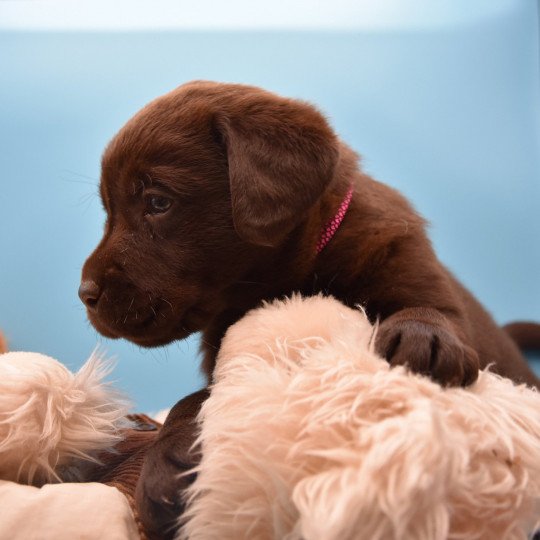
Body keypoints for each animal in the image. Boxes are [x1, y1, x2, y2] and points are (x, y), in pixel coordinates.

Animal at [78, 80, 536, 536]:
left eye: (157, 202)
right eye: (108, 210)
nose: (85, 293)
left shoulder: (408, 263)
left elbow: (432, 310)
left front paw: (422, 337)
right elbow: (191, 401)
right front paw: (165, 471)